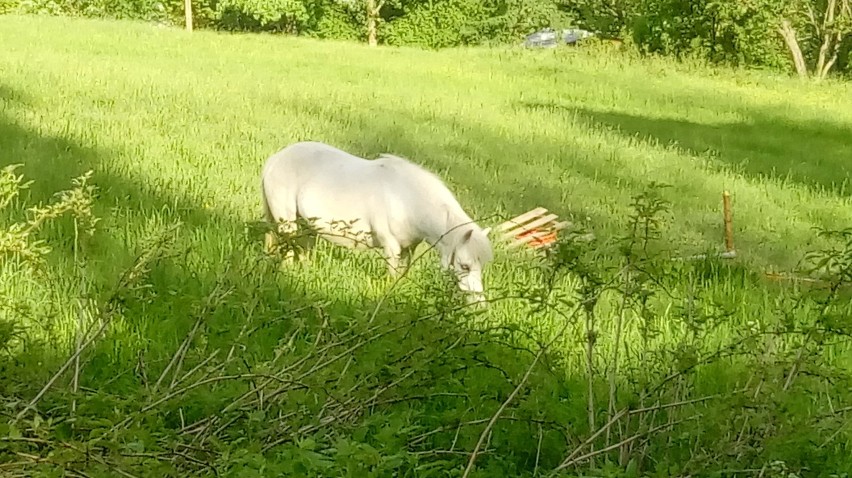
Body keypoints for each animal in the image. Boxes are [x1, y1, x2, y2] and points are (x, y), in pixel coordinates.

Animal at [260, 140, 492, 300]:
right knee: (287, 247)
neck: (407, 198)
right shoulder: (391, 247)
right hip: (287, 221)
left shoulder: (408, 249)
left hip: (307, 224)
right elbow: (392, 276)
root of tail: (275, 158)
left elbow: (402, 275)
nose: (478, 304)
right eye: (464, 265)